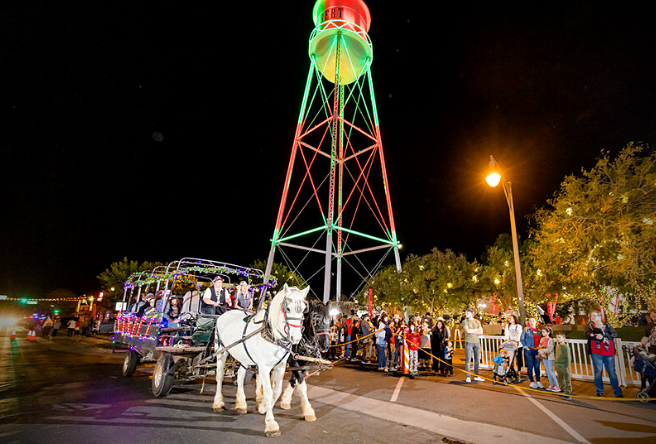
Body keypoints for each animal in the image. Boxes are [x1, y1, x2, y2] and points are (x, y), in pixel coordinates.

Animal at [213, 284, 310, 438]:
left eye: (304, 310)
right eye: (288, 308)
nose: (295, 338)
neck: (271, 334)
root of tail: (224, 314)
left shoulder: (280, 366)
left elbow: (277, 390)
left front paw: (263, 407)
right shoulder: (264, 367)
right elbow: (269, 392)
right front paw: (271, 424)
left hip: (244, 357)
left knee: (240, 376)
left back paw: (241, 404)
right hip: (221, 351)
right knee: (220, 376)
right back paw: (218, 403)